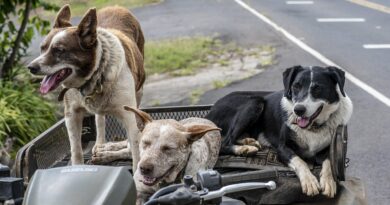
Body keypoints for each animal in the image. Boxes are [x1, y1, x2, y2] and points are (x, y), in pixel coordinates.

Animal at [207, 65, 354, 197]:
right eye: (296, 86)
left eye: (318, 88)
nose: (298, 110)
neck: (313, 127)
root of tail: (209, 112)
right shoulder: (282, 148)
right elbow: (300, 161)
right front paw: (309, 181)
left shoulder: (330, 148)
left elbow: (329, 161)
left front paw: (329, 182)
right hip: (254, 102)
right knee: (224, 143)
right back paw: (244, 149)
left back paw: (249, 142)